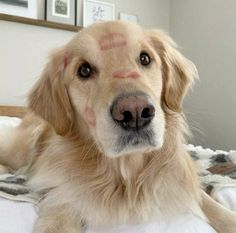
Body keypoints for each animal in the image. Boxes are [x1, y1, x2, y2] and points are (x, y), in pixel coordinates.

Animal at [0, 20, 236, 232]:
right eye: (84, 70)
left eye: (145, 58)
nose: (135, 113)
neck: (128, 176)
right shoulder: (60, 187)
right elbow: (61, 204)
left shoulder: (180, 180)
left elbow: (209, 203)